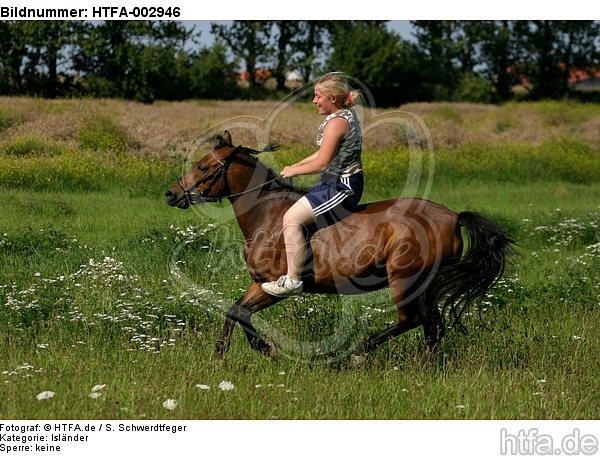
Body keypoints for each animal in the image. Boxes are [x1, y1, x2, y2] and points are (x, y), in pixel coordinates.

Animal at [164, 130, 516, 362]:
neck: (266, 213)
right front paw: (224, 352)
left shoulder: (277, 287)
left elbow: (240, 312)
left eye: (204, 167)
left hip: (405, 278)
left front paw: (267, 349)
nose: (171, 194)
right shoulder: (260, 283)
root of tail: (453, 216)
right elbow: (235, 310)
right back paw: (424, 366)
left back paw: (360, 353)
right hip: (425, 285)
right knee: (433, 327)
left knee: (412, 320)